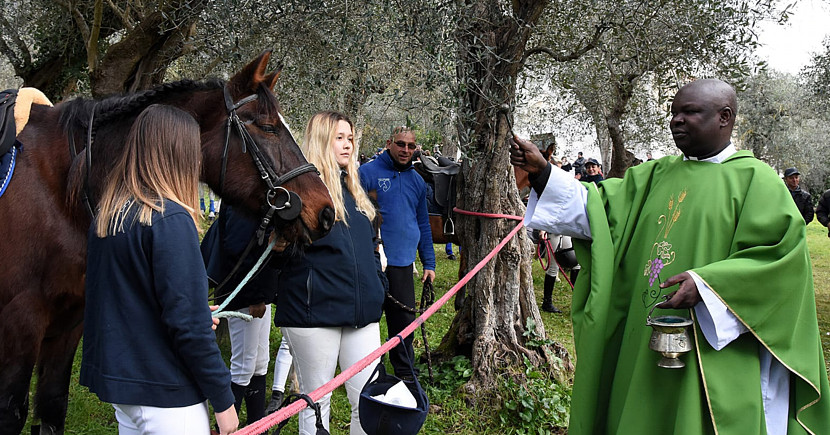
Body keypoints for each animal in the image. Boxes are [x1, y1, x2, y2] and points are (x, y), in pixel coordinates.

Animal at [0, 50, 334, 432]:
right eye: (267, 127)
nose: (325, 212)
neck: (60, 186)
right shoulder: (21, 323)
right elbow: (11, 411)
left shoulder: (69, 323)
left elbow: (53, 405)